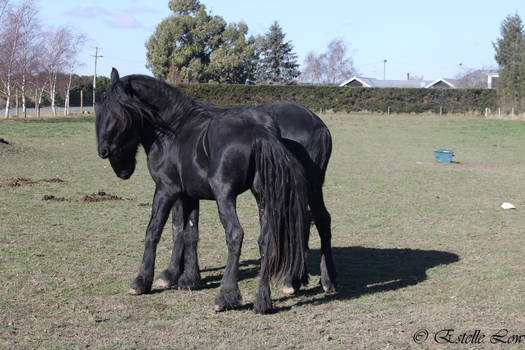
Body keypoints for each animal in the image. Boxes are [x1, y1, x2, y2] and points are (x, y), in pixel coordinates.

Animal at [97, 67, 336, 312]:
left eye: (121, 113)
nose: (103, 150)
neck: (176, 129)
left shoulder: (166, 189)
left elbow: (156, 231)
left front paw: (144, 281)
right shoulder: (189, 194)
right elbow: (188, 232)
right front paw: (187, 279)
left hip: (230, 195)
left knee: (237, 234)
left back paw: (229, 295)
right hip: (275, 194)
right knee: (279, 234)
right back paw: (274, 296)